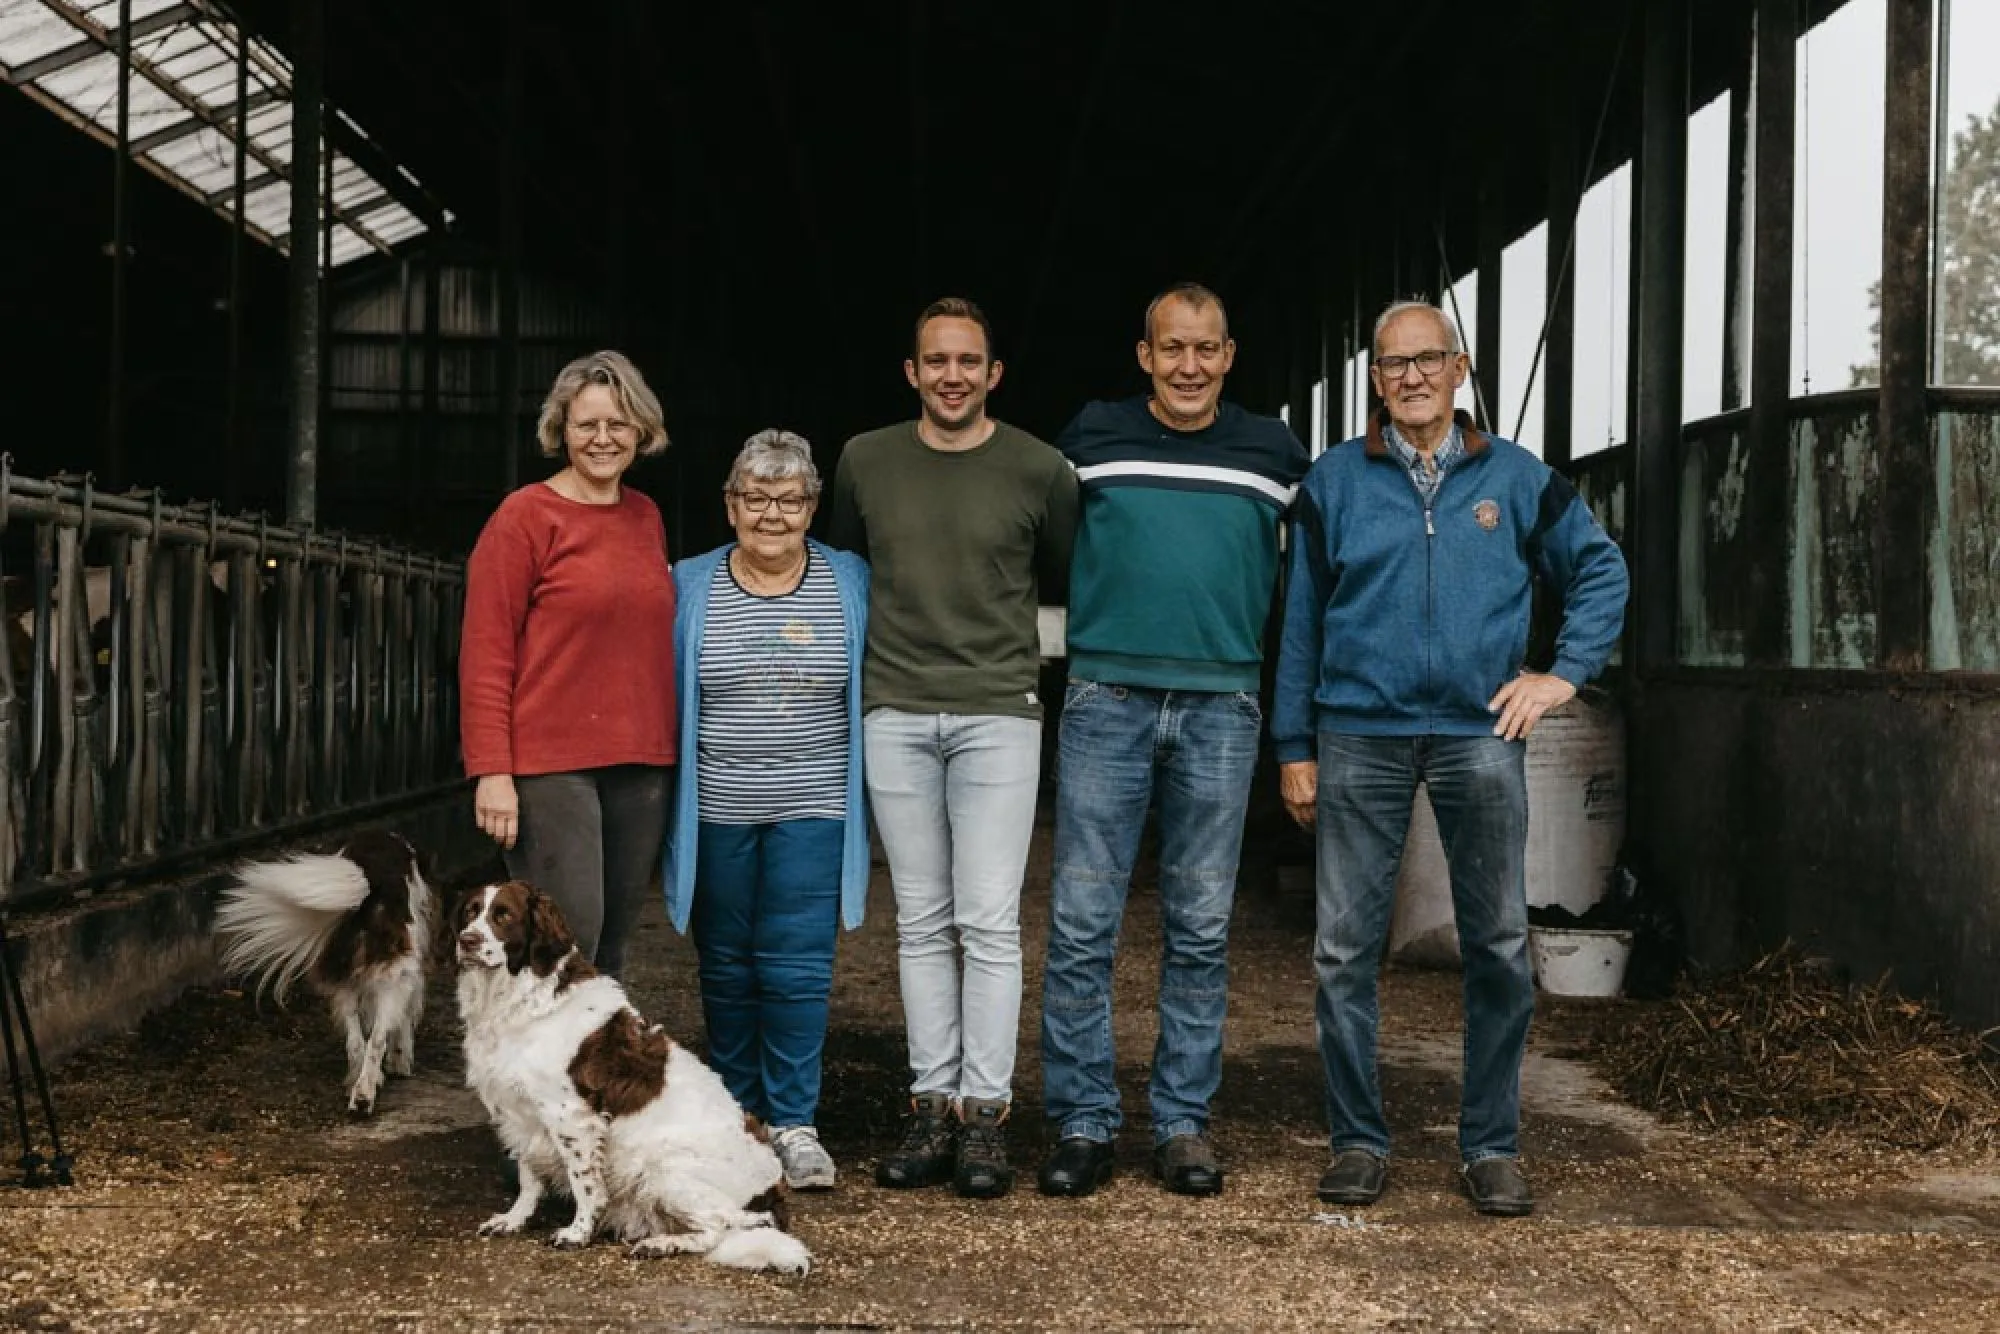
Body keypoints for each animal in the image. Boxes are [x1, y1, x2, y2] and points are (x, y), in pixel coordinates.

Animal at [215, 836, 434, 1120]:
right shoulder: (407, 975)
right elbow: (403, 1021)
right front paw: (400, 1059)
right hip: (394, 976)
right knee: (376, 1040)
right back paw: (364, 1096)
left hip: (346, 986)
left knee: (355, 1043)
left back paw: (358, 1089)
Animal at [450, 880, 808, 1280]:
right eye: (470, 912)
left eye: (504, 916)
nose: (466, 940)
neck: (518, 997)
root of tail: (773, 1189)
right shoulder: (523, 1113)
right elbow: (529, 1178)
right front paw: (513, 1220)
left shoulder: (570, 1116)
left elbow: (585, 1184)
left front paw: (577, 1233)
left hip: (665, 1169)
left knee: (722, 1225)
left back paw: (661, 1244)